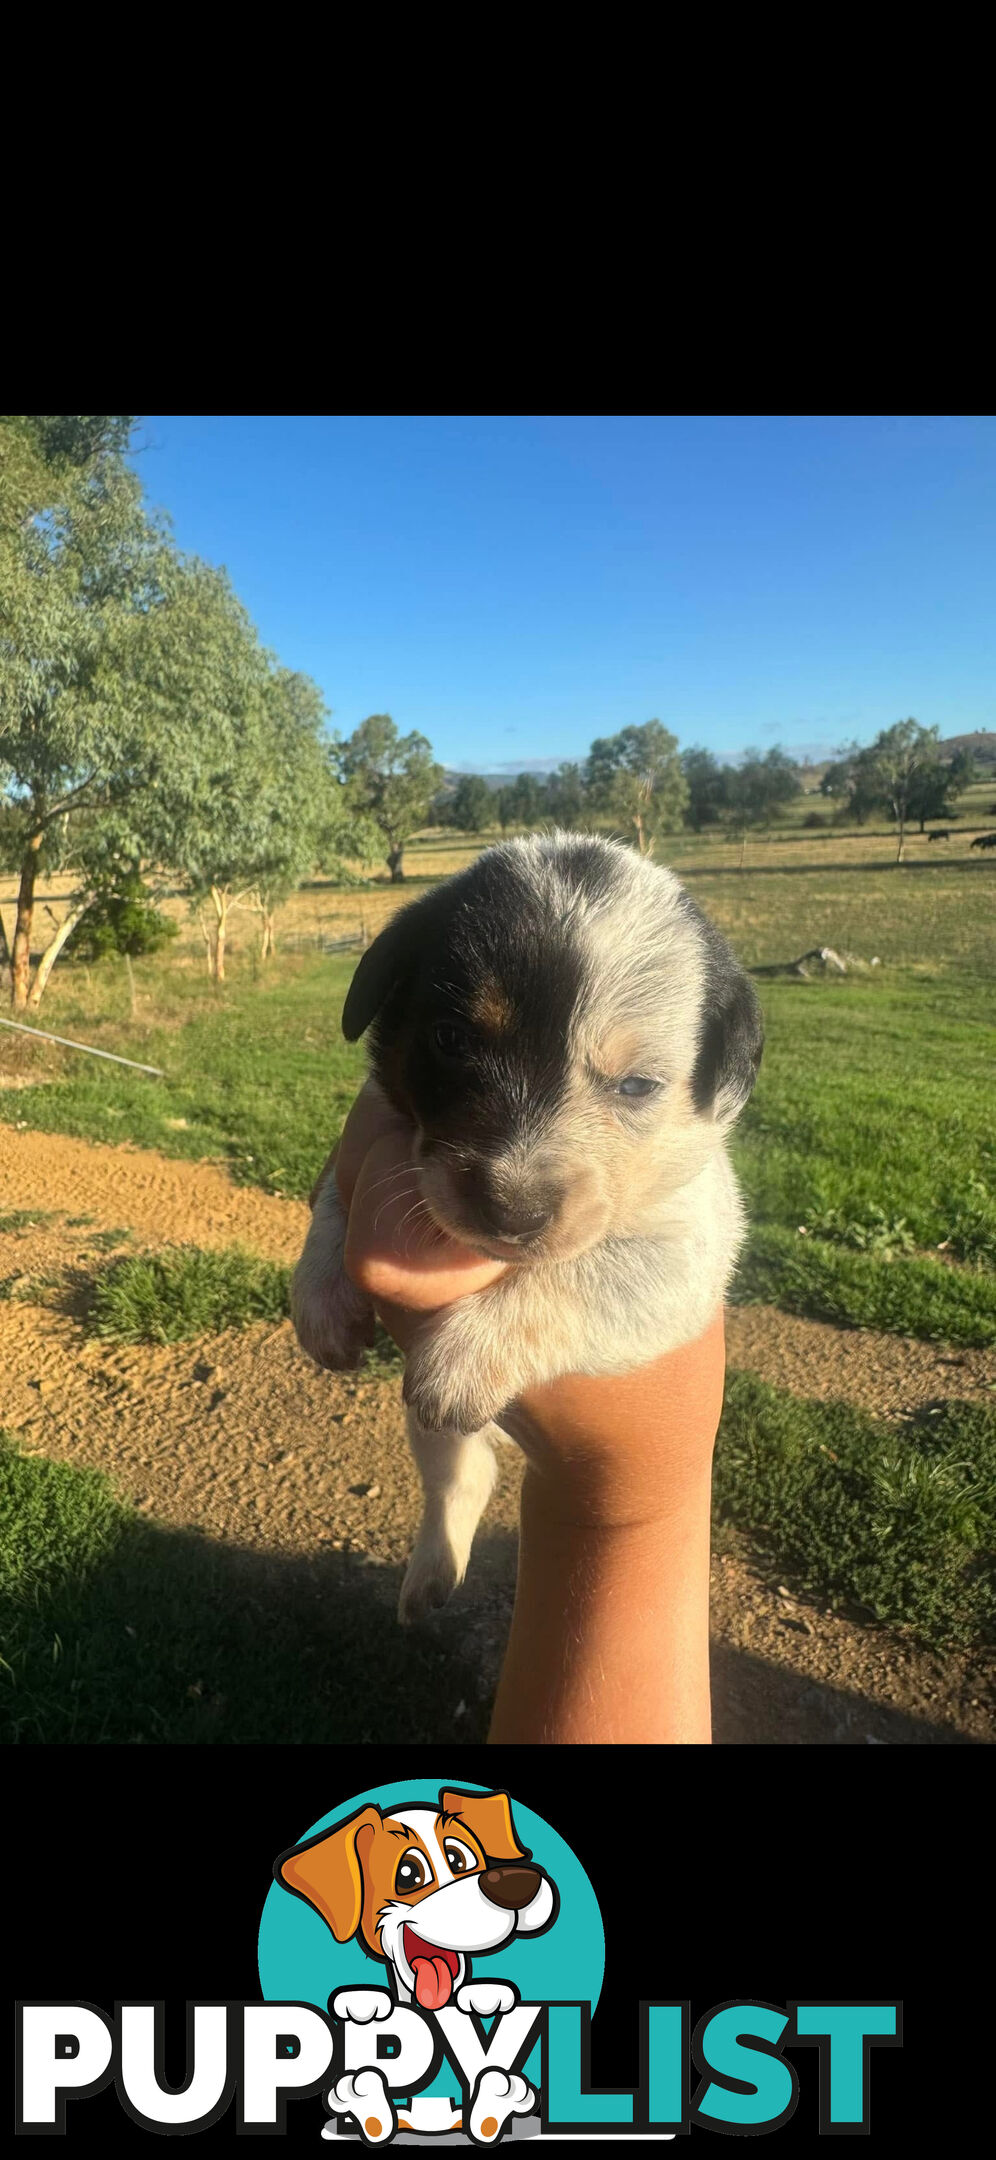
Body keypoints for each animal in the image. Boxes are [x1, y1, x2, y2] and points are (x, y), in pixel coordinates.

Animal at [289, 825, 760, 1624]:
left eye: (638, 1085)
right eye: (450, 1038)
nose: (510, 1211)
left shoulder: (690, 1244)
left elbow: (577, 1274)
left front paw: (467, 1354)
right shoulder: (371, 1128)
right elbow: (331, 1206)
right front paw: (320, 1299)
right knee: (461, 1475)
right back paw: (430, 1576)